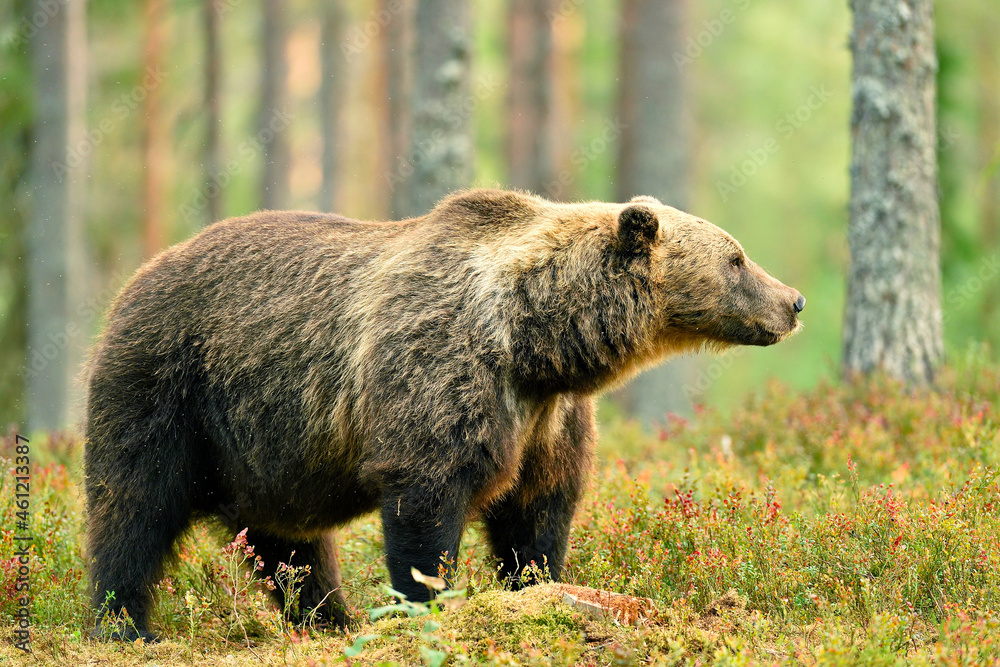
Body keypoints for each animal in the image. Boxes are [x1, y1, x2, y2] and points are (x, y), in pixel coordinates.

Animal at [86, 188, 804, 640]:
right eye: (736, 257)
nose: (793, 300)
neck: (535, 341)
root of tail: (139, 276)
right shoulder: (442, 375)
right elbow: (428, 505)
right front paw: (427, 602)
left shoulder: (546, 420)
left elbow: (537, 512)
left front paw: (537, 585)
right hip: (169, 387)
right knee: (134, 505)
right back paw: (125, 625)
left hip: (269, 447)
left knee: (289, 543)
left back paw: (330, 618)